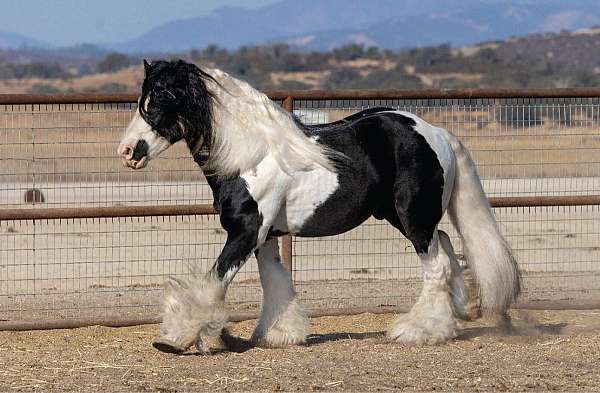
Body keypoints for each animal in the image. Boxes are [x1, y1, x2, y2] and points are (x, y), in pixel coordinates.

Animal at [117, 59, 520, 354]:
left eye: (162, 97)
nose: (128, 151)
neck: (250, 156)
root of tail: (437, 133)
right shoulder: (266, 236)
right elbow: (274, 280)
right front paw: (279, 333)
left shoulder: (245, 232)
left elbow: (214, 281)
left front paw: (177, 337)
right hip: (403, 216)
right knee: (447, 245)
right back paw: (455, 314)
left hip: (413, 217)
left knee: (435, 264)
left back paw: (421, 330)